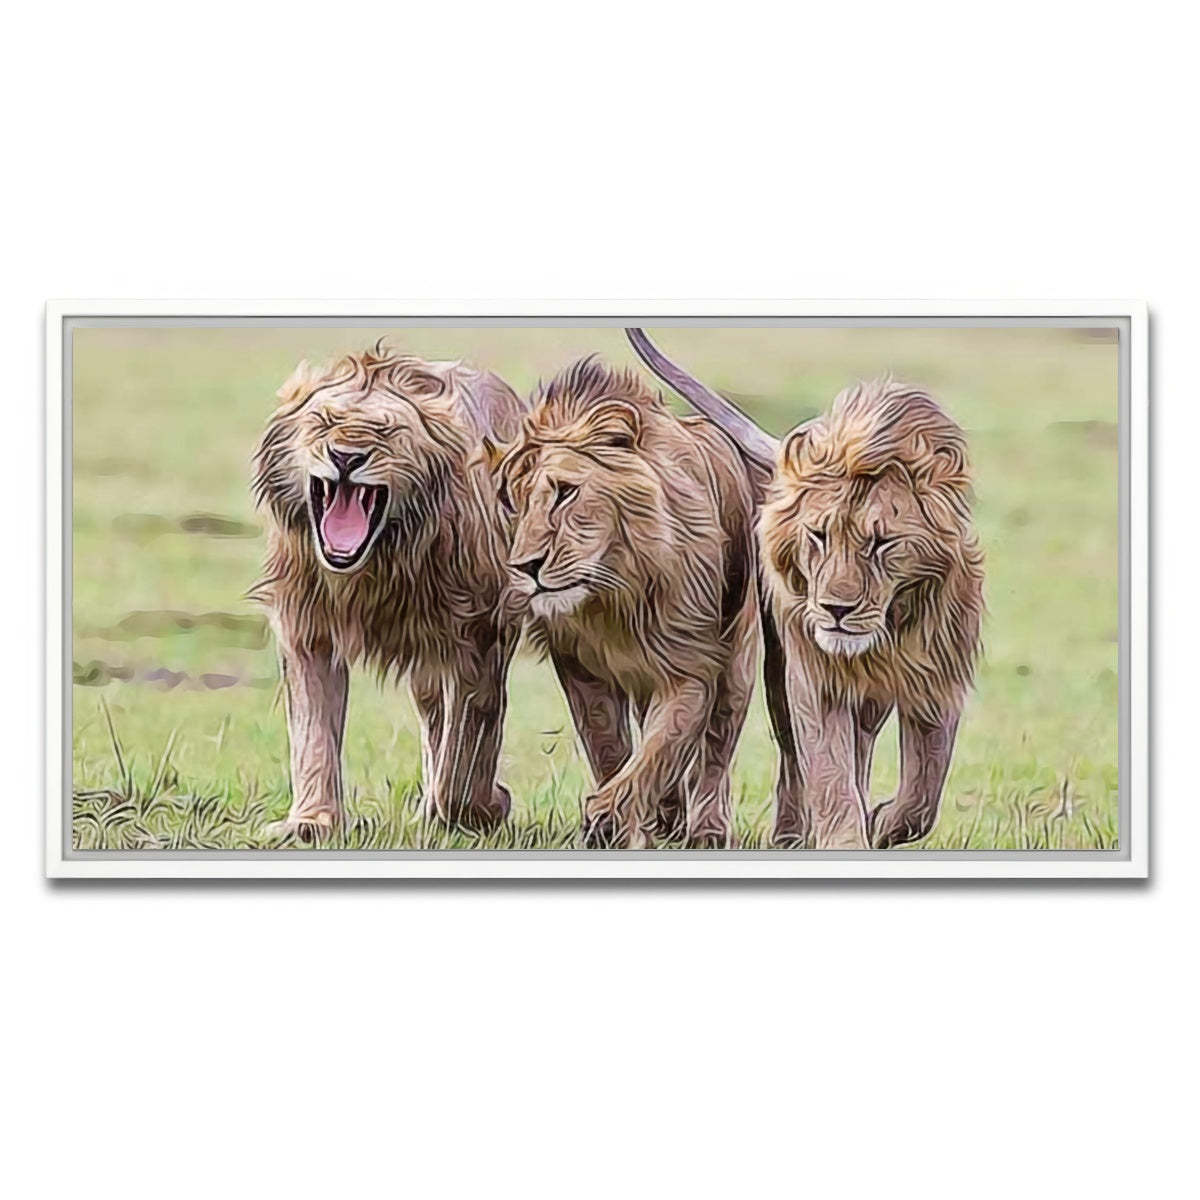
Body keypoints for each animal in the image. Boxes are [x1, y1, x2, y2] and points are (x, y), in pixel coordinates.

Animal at [250, 340, 526, 839]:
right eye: (325, 421)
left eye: (386, 430)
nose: (345, 457)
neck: (375, 565)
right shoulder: (307, 628)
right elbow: (312, 732)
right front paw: (311, 821)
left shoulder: (480, 634)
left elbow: (469, 747)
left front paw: (484, 807)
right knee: (433, 717)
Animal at [491, 356, 760, 849]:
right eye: (512, 502)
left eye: (565, 491)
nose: (526, 566)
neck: (614, 594)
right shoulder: (580, 668)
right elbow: (611, 748)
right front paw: (620, 823)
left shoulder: (692, 666)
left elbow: (659, 749)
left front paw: (609, 817)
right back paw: (669, 817)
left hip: (737, 662)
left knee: (716, 749)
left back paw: (707, 830)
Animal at [626, 329, 984, 849]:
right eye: (818, 535)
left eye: (881, 542)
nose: (836, 609)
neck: (891, 627)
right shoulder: (814, 678)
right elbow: (828, 770)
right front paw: (847, 837)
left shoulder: (938, 679)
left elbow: (923, 794)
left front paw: (882, 822)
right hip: (778, 669)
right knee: (797, 757)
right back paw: (792, 834)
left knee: (864, 747)